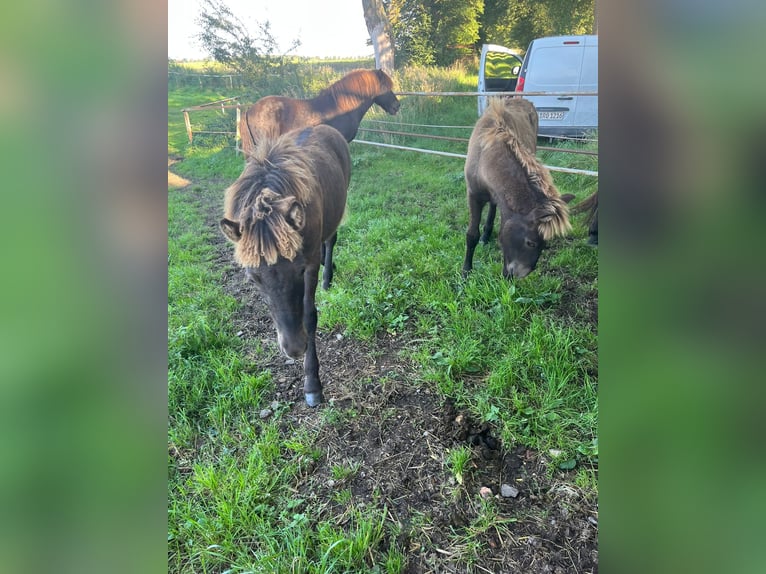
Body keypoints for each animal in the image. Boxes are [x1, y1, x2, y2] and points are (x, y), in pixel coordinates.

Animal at [220, 124, 351, 407]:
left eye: (299, 270)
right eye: (253, 279)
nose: (294, 348)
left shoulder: (309, 263)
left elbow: (310, 316)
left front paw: (312, 386)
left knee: (330, 240)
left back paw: (328, 278)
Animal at [462, 98, 574, 279]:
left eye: (545, 245)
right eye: (531, 242)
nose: (515, 276)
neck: (485, 156)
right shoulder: (473, 195)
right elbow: (472, 235)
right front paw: (465, 272)